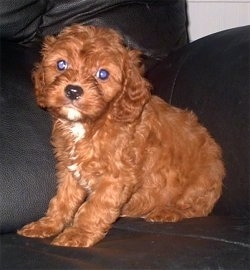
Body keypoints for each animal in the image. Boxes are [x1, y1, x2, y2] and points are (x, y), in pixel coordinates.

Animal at [17, 24, 225, 247]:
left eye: (103, 74)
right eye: (61, 64)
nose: (73, 90)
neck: (92, 124)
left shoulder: (116, 177)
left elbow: (94, 207)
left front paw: (78, 233)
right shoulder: (69, 170)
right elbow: (63, 200)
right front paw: (47, 225)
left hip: (200, 185)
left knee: (196, 208)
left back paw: (166, 212)